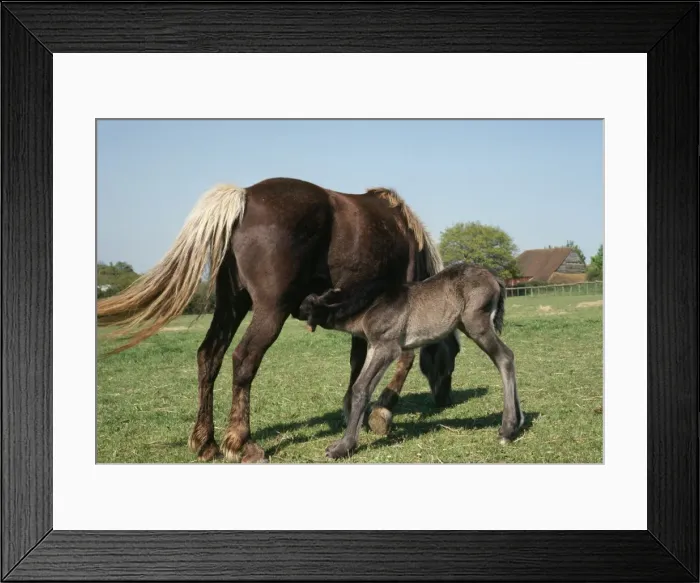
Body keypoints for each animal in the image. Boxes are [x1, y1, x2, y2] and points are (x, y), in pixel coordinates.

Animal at [97, 176, 460, 463]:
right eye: (454, 354)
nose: (446, 399)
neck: (405, 235)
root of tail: (245, 196)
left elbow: (357, 363)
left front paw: (350, 409)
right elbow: (404, 359)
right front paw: (382, 413)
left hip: (232, 304)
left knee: (209, 356)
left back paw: (206, 441)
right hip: (270, 310)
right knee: (244, 359)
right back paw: (240, 442)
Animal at [299, 260, 524, 459]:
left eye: (308, 304)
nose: (297, 309)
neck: (370, 305)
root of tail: (494, 277)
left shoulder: (388, 347)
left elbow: (362, 388)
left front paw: (342, 447)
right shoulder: (374, 346)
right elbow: (359, 387)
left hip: (476, 324)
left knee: (505, 358)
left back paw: (507, 430)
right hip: (466, 325)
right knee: (507, 357)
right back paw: (518, 423)